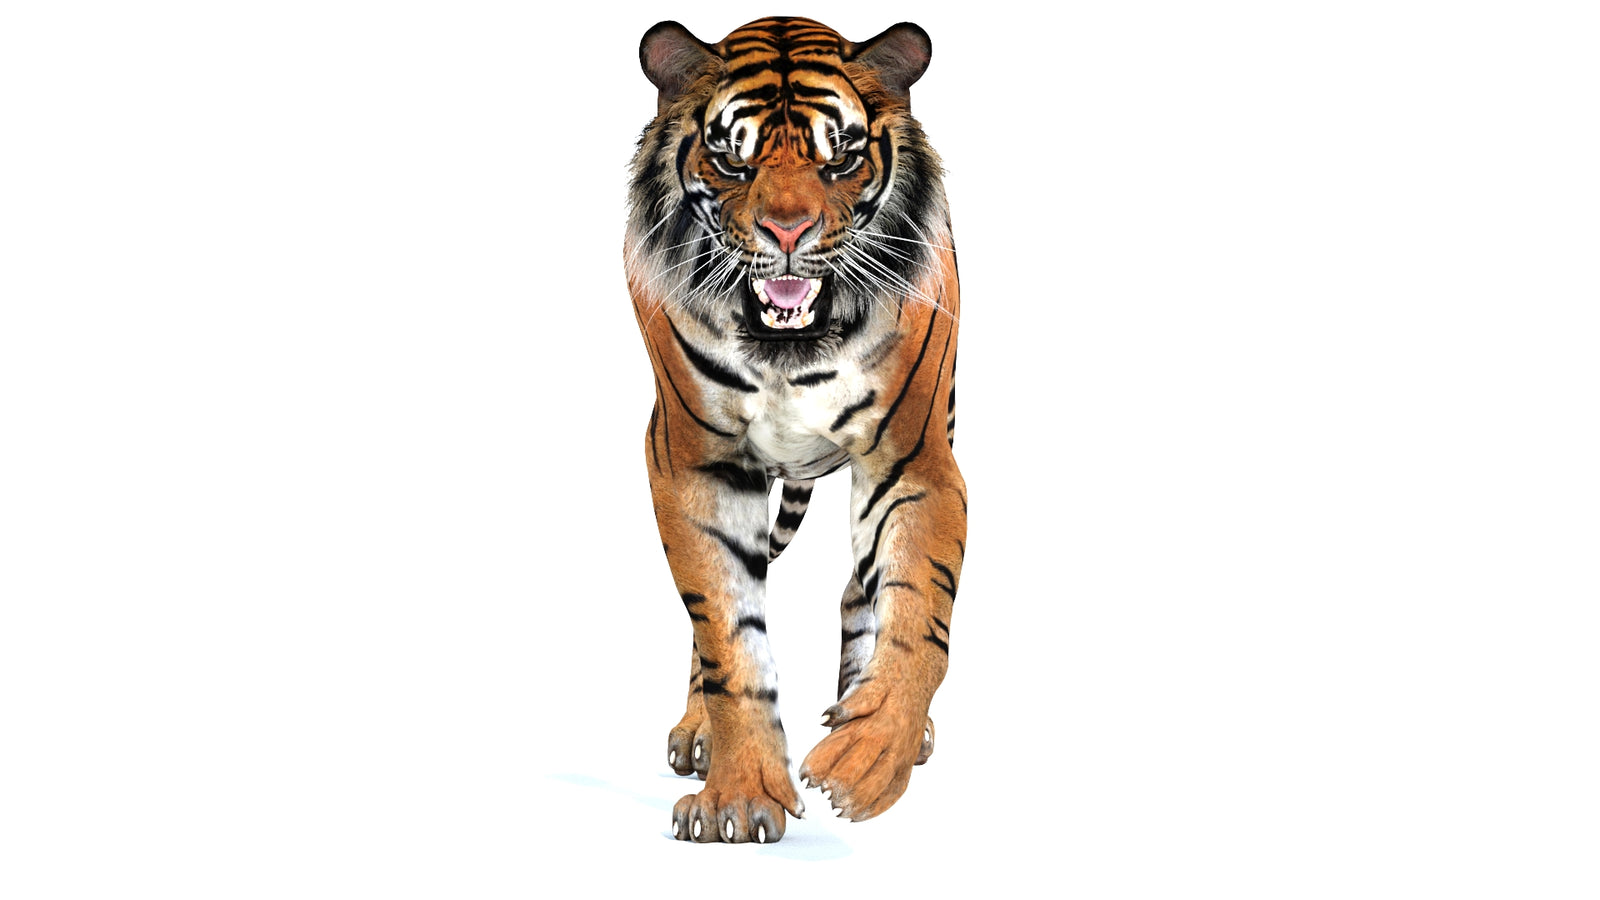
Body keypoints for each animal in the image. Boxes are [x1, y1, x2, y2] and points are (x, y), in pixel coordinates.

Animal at [625, 16, 964, 844]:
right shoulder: (692, 467)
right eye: (730, 160)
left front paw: (871, 753)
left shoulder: (914, 462)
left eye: (838, 158)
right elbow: (727, 638)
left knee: (860, 592)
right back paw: (699, 733)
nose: (788, 229)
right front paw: (739, 793)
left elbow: (917, 614)